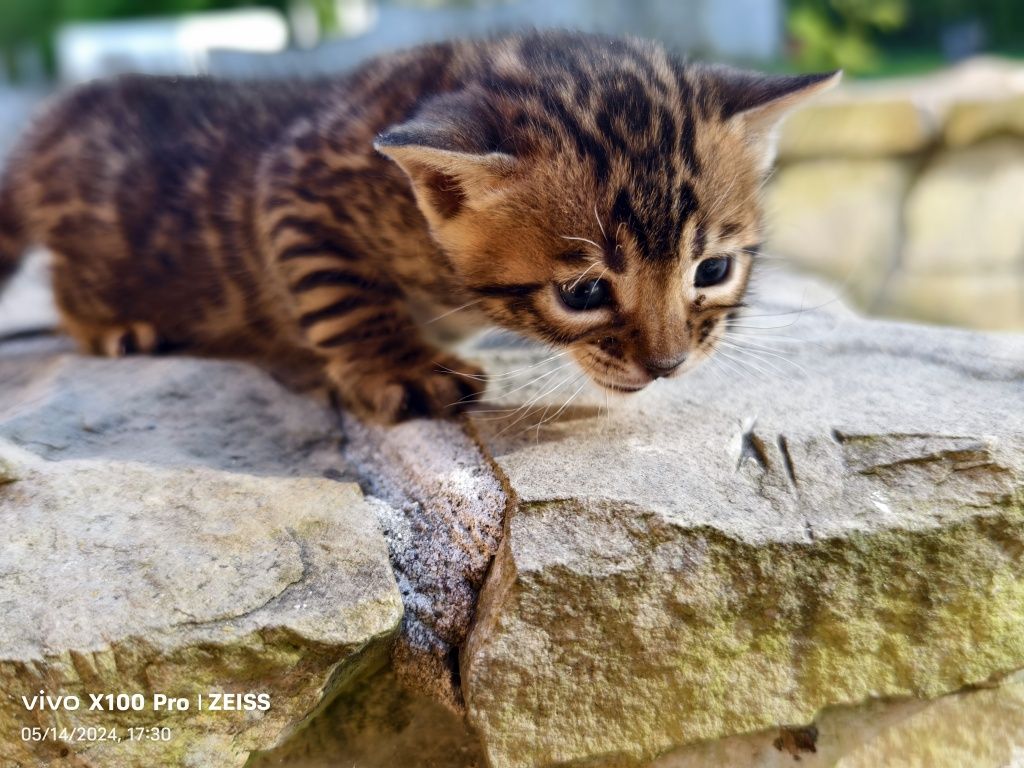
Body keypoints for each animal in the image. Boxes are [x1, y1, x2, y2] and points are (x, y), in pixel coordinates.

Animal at [0, 33, 835, 423]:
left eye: (713, 271)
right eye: (585, 292)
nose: (667, 365)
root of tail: (49, 120)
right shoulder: (295, 186)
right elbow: (345, 298)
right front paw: (401, 365)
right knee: (64, 285)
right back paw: (111, 326)